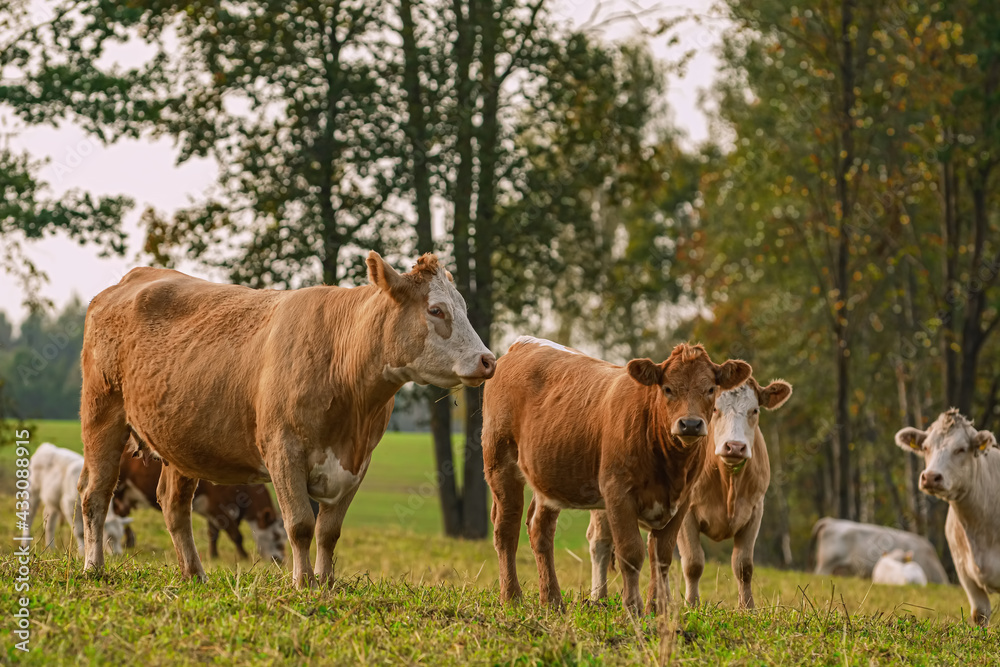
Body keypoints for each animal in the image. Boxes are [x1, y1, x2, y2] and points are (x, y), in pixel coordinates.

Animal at [114, 448, 286, 564]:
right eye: (276, 535)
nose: (280, 560)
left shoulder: (213, 510)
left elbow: (213, 533)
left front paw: (214, 555)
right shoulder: (218, 504)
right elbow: (236, 534)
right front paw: (243, 556)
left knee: (121, 514)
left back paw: (128, 541)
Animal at [484, 336, 752, 612]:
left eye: (710, 389)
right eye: (667, 389)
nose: (690, 424)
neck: (670, 466)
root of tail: (524, 343)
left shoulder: (682, 500)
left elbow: (662, 556)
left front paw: (656, 608)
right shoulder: (618, 492)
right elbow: (631, 552)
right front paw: (633, 608)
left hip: (548, 478)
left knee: (540, 529)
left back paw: (552, 601)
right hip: (500, 460)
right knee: (506, 528)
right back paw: (512, 597)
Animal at [668, 376, 792, 612]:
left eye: (755, 410)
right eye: (715, 408)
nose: (735, 446)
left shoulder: (755, 510)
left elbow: (743, 565)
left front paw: (747, 607)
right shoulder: (685, 513)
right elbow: (693, 562)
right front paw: (692, 604)